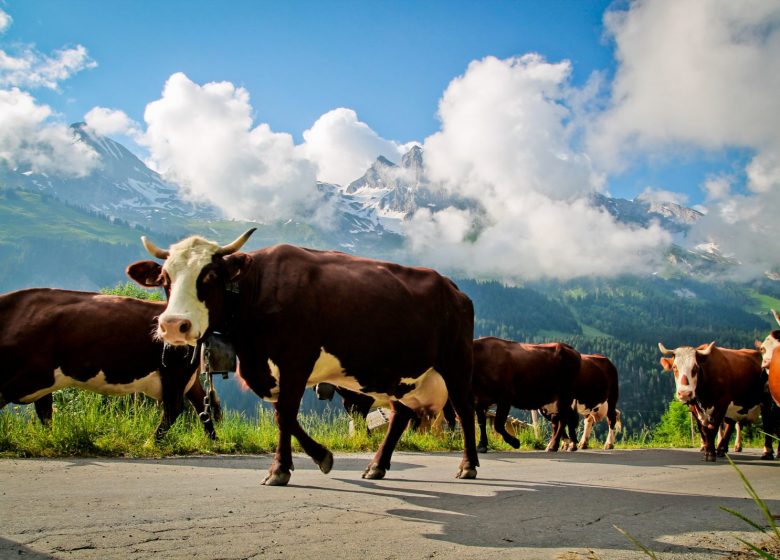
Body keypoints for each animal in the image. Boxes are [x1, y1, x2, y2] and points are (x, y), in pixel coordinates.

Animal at [0, 290, 219, 440]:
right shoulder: (42, 385)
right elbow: (45, 415)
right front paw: (50, 439)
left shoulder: (36, 376)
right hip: (185, 377)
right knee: (201, 405)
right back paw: (213, 441)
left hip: (174, 373)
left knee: (174, 407)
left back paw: (151, 442)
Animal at [126, 231, 482, 486]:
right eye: (165, 280)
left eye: (210, 277)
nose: (174, 325)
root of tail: (452, 287)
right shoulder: (266, 369)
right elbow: (282, 414)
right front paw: (322, 456)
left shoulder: (296, 360)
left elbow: (285, 415)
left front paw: (280, 470)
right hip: (400, 375)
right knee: (401, 415)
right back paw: (376, 466)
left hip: (456, 362)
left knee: (464, 411)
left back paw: (468, 466)